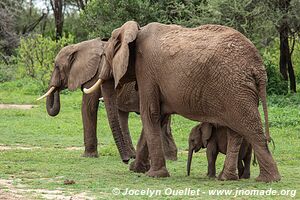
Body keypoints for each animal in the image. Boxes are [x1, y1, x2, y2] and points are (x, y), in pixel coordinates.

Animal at [37, 38, 178, 162]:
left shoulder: (94, 76)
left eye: (56, 66)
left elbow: (88, 107)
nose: (57, 86)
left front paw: (88, 156)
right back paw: (167, 158)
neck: (80, 47)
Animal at [86, 21, 282, 182]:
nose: (126, 160)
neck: (135, 31)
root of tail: (258, 67)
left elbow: (149, 114)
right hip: (238, 90)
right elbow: (158, 116)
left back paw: (267, 179)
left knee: (250, 128)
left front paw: (154, 175)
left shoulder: (146, 71)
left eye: (105, 56)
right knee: (236, 132)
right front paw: (137, 170)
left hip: (235, 88)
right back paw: (227, 178)